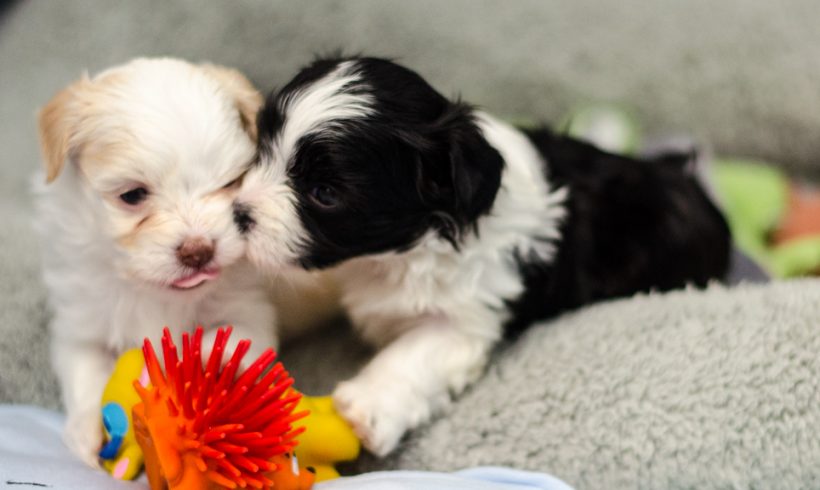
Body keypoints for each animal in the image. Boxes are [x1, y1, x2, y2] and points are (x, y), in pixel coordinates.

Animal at [34, 58, 278, 468]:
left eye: (231, 182)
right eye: (132, 195)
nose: (198, 250)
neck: (150, 289)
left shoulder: (252, 312)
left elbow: (232, 339)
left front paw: (196, 360)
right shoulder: (80, 328)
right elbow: (85, 374)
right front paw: (85, 434)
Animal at [235, 56, 732, 456]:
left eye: (324, 193)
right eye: (263, 148)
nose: (239, 214)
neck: (409, 246)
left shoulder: (470, 317)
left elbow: (418, 352)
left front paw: (367, 407)